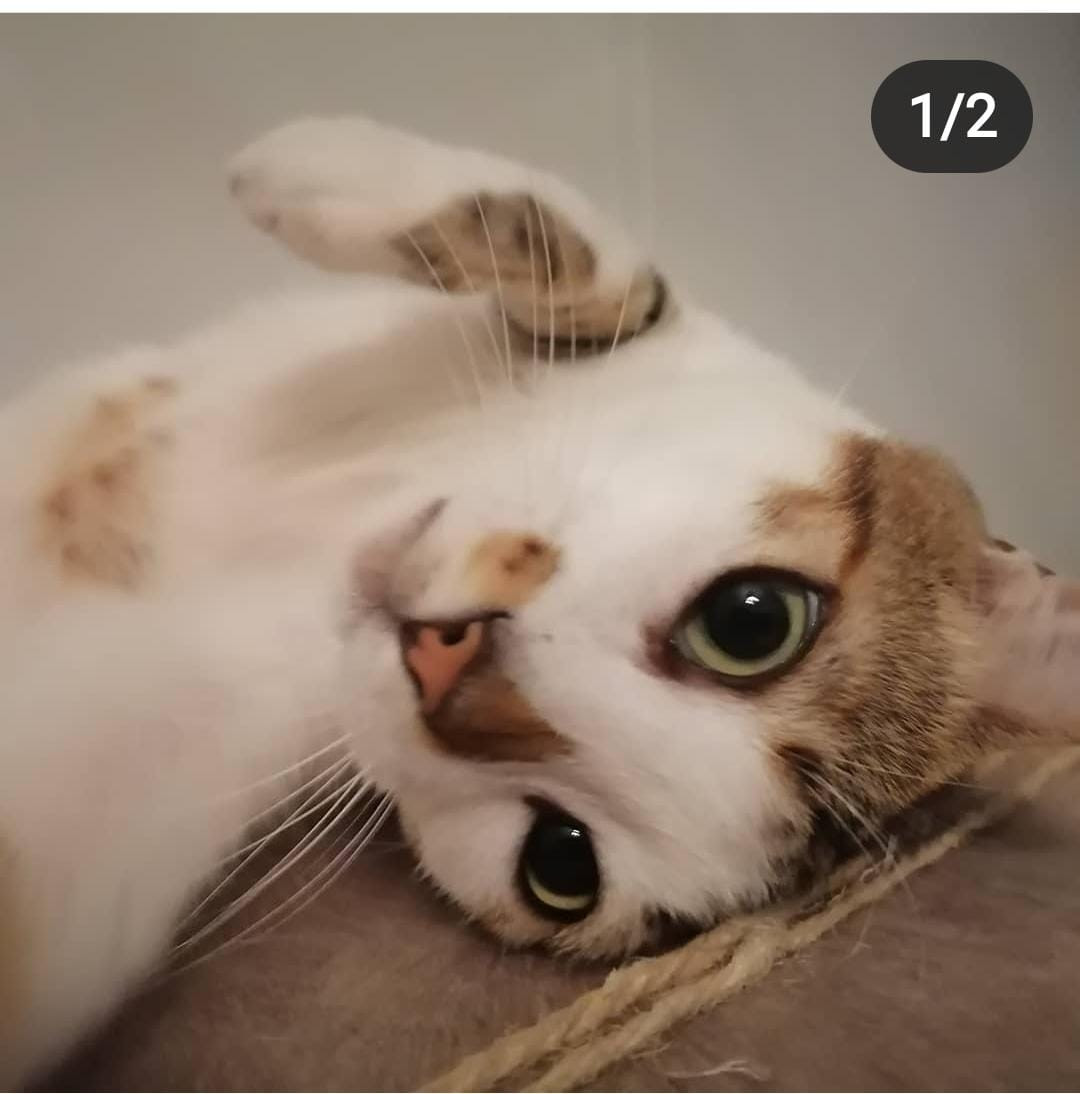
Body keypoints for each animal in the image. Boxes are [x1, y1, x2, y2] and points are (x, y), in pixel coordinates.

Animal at [0, 115, 1074, 1087]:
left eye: (561, 863)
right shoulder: (667, 333)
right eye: (752, 621)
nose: (444, 653)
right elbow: (613, 272)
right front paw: (315, 165)